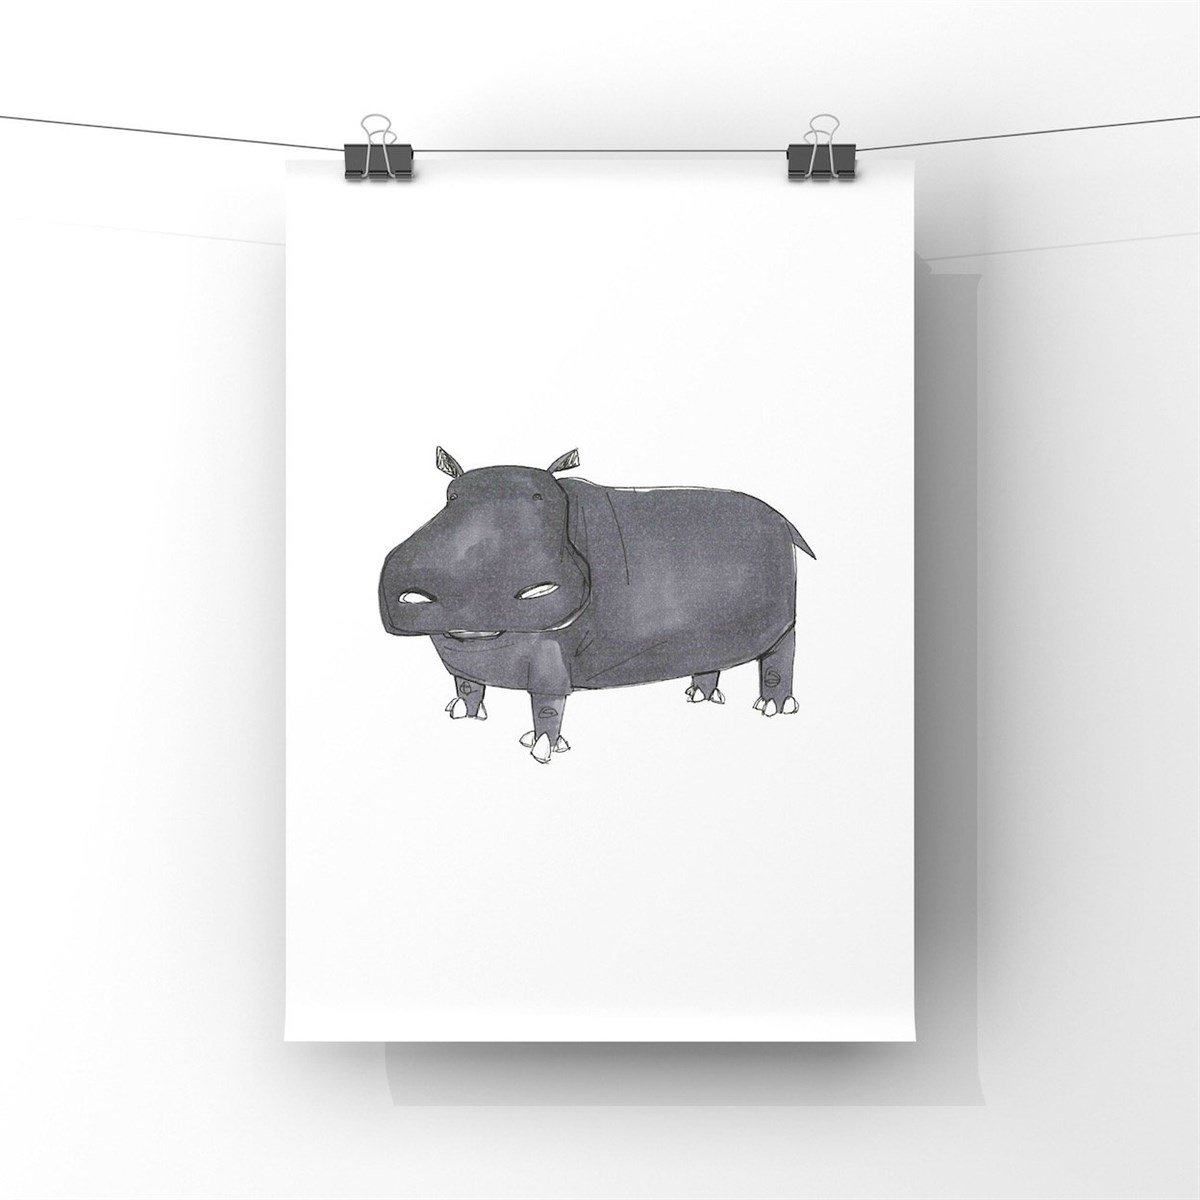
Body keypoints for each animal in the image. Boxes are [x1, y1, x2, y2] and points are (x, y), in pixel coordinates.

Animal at [379, 448, 815, 763]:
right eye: (451, 498)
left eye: (541, 497)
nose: (474, 583)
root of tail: (783, 520)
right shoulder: (467, 665)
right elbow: (467, 685)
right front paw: (463, 715)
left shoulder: (550, 656)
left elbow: (547, 707)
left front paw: (542, 749)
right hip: (709, 638)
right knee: (709, 663)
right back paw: (699, 696)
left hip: (786, 627)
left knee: (779, 663)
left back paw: (772, 708)